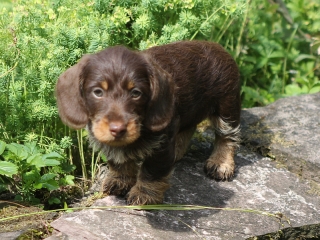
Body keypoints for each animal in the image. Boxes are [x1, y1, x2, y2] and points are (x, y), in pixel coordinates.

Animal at [56, 40, 240, 205]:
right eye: (98, 92)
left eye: (136, 93)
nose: (118, 129)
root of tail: (219, 47)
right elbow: (119, 162)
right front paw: (120, 180)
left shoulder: (161, 145)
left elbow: (152, 171)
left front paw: (144, 194)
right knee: (188, 128)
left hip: (227, 107)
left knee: (227, 137)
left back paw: (221, 163)